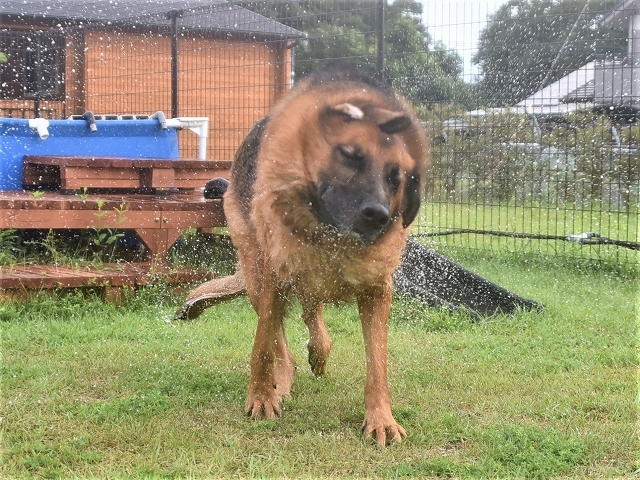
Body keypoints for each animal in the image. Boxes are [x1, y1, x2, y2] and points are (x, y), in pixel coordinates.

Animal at [178, 68, 428, 446]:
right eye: (349, 156)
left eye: (395, 178)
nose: (379, 216)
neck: (329, 237)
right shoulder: (276, 277)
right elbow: (262, 346)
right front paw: (260, 398)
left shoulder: (376, 291)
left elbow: (377, 363)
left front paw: (381, 419)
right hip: (258, 277)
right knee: (279, 338)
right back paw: (283, 381)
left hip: (307, 283)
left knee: (314, 318)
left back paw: (317, 354)